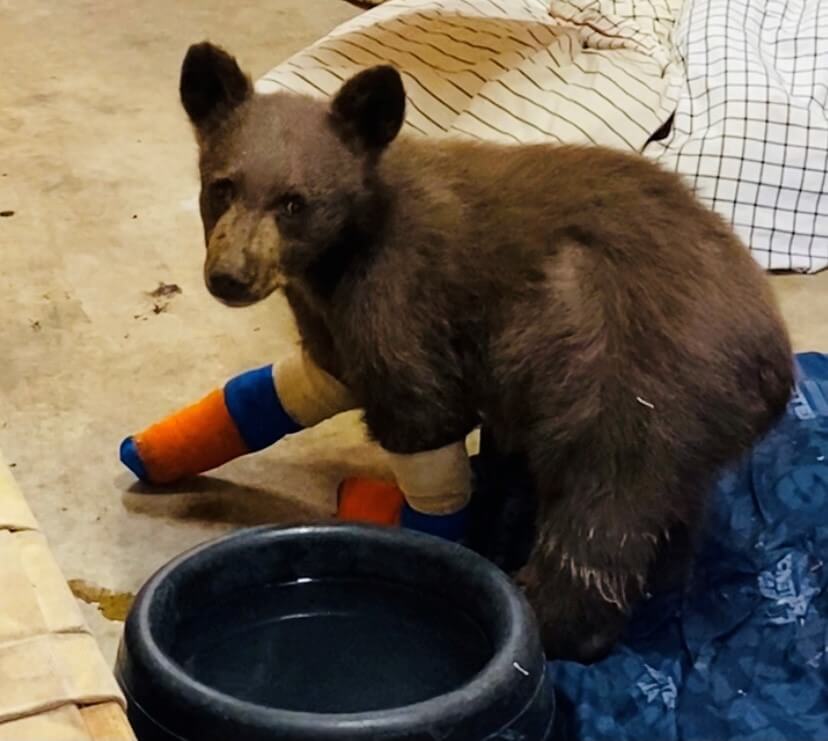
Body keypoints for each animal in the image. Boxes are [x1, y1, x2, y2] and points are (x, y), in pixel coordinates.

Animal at [178, 42, 793, 663]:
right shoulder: (334, 327)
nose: (230, 276)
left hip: (618, 364)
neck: (340, 256)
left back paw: (545, 617)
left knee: (601, 508)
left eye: (294, 202)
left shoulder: (400, 300)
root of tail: (773, 365)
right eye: (222, 186)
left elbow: (421, 416)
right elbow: (307, 382)